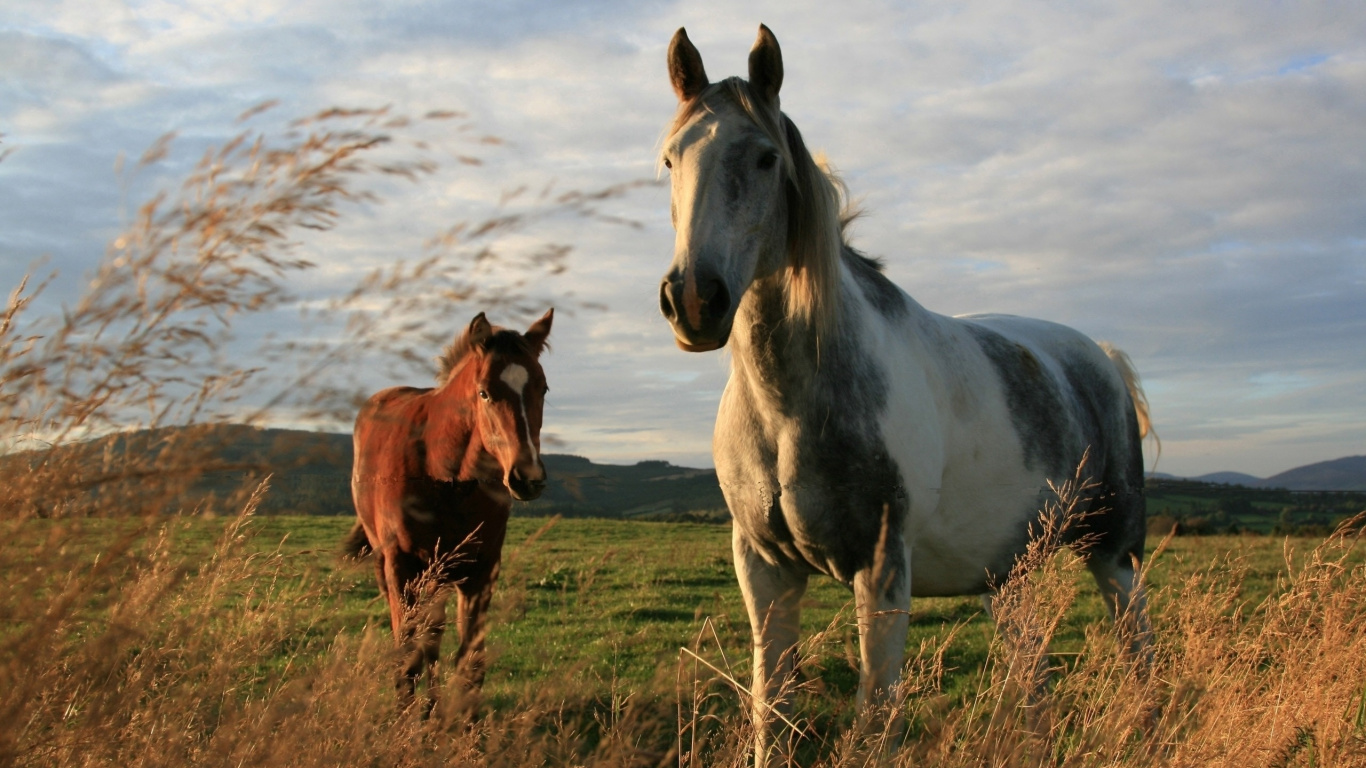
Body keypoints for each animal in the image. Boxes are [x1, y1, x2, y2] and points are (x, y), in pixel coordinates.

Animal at [345, 309, 553, 711]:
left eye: (543, 388)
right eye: (484, 392)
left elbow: (470, 661)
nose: (528, 478)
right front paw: (407, 718)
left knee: (434, 634)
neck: (444, 474)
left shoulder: (481, 570)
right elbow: (407, 654)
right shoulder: (402, 566)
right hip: (391, 564)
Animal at [658, 26, 1154, 763]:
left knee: (1138, 651)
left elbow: (876, 718)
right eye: (669, 160)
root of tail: (1102, 359)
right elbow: (771, 712)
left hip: (1114, 554)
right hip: (1008, 576)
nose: (694, 300)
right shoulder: (764, 569)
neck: (789, 408)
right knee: (1032, 672)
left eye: (767, 157)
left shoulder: (883, 570)